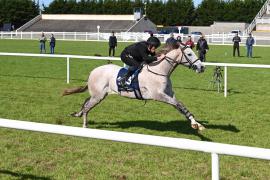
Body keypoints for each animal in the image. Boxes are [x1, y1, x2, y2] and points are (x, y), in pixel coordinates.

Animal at [63, 44, 206, 130]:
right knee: (87, 107)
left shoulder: (169, 95)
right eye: (189, 54)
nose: (202, 67)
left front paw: (196, 123)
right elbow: (179, 104)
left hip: (98, 95)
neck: (160, 71)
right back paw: (84, 125)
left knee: (86, 102)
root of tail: (93, 71)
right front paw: (196, 124)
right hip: (98, 96)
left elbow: (180, 106)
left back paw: (78, 114)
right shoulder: (158, 95)